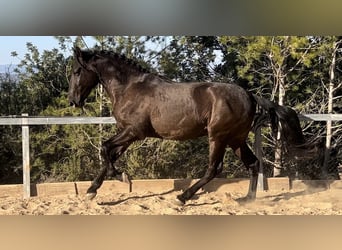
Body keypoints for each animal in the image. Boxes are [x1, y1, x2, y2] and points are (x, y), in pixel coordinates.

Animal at [68, 47, 312, 205]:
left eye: (77, 71)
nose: (73, 100)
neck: (130, 88)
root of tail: (250, 96)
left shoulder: (134, 132)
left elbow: (105, 148)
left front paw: (121, 177)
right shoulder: (127, 133)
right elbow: (109, 153)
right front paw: (92, 191)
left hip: (218, 137)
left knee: (214, 168)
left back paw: (183, 197)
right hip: (236, 139)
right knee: (252, 163)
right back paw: (247, 199)